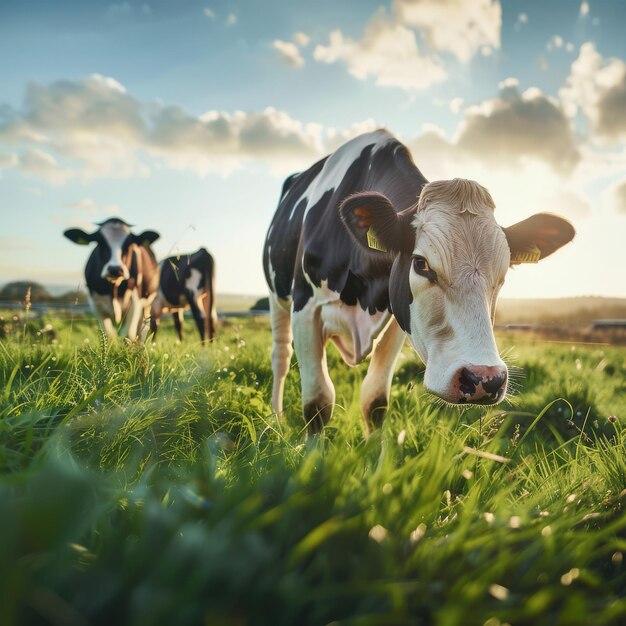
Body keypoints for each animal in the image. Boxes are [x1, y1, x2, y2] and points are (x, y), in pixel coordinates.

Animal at [260, 130, 572, 434]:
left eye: (504, 272)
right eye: (421, 264)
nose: (485, 378)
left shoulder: (397, 320)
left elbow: (375, 402)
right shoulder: (305, 309)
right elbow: (318, 403)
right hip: (276, 298)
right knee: (280, 356)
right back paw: (276, 419)